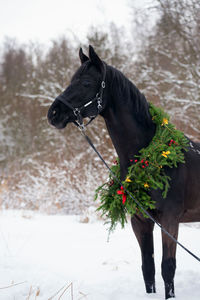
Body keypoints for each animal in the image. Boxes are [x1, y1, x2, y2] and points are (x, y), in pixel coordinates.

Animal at [47, 45, 200, 298]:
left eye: (86, 83)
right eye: (71, 80)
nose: (53, 114)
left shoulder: (170, 220)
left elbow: (168, 268)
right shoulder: (140, 221)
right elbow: (148, 267)